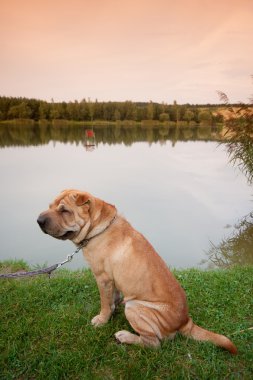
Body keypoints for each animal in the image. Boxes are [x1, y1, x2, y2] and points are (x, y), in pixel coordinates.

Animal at [37, 189, 237, 354]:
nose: (39, 220)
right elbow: (112, 299)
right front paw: (112, 308)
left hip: (135, 307)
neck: (98, 227)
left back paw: (125, 336)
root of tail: (185, 322)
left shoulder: (103, 278)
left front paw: (101, 320)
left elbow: (104, 303)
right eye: (50, 206)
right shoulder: (112, 281)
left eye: (64, 211)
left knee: (153, 343)